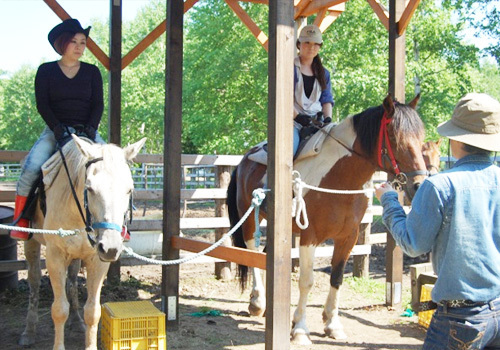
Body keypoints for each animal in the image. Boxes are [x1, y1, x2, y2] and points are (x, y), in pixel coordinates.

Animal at [21, 136, 146, 350]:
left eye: (129, 189)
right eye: (90, 188)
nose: (110, 247)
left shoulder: (97, 261)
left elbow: (93, 311)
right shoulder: (55, 257)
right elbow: (59, 309)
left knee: (71, 282)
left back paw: (76, 321)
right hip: (32, 244)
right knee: (34, 282)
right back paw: (29, 332)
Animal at [227, 94, 426, 344]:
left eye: (422, 139)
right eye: (396, 138)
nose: (418, 185)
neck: (340, 178)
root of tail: (245, 158)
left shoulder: (348, 237)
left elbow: (337, 278)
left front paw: (332, 324)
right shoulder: (309, 237)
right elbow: (307, 281)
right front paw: (300, 329)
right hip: (250, 218)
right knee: (251, 252)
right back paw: (257, 302)